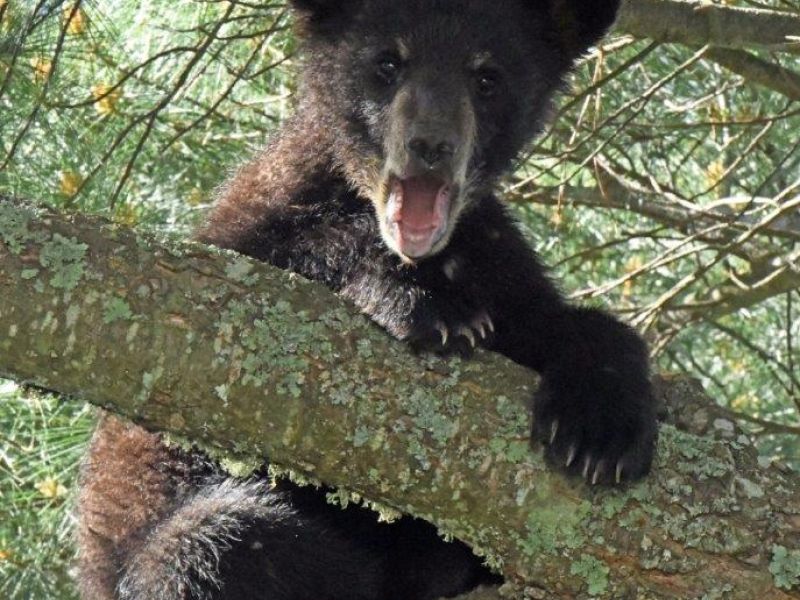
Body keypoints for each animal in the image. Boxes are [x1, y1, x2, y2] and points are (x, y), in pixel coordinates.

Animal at [76, 1, 658, 599]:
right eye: (388, 62)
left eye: (487, 77)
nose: (431, 146)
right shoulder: (252, 226)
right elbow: (280, 265)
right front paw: (427, 305)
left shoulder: (493, 255)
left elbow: (550, 322)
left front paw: (600, 429)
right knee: (216, 544)